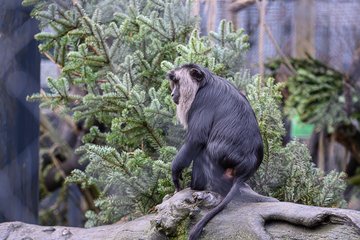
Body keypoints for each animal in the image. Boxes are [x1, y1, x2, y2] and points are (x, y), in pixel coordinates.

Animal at [167, 63, 262, 240]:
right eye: (173, 83)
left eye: (178, 83)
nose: (173, 94)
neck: (204, 84)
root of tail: (245, 167)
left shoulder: (202, 100)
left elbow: (196, 139)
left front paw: (175, 172)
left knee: (202, 150)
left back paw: (196, 186)